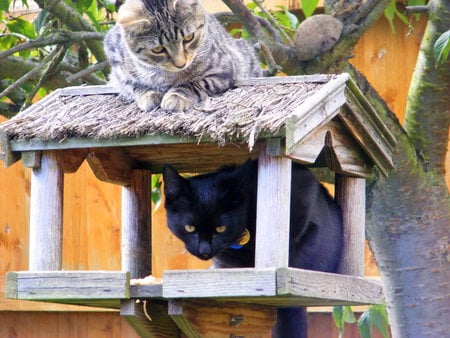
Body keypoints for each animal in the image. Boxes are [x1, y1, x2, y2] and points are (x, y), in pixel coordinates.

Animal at [104, 0, 262, 111]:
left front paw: (176, 96)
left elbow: (195, 83)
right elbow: (134, 85)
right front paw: (148, 95)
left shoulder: (223, 69)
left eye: (188, 38)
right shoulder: (117, 67)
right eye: (158, 49)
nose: (181, 63)